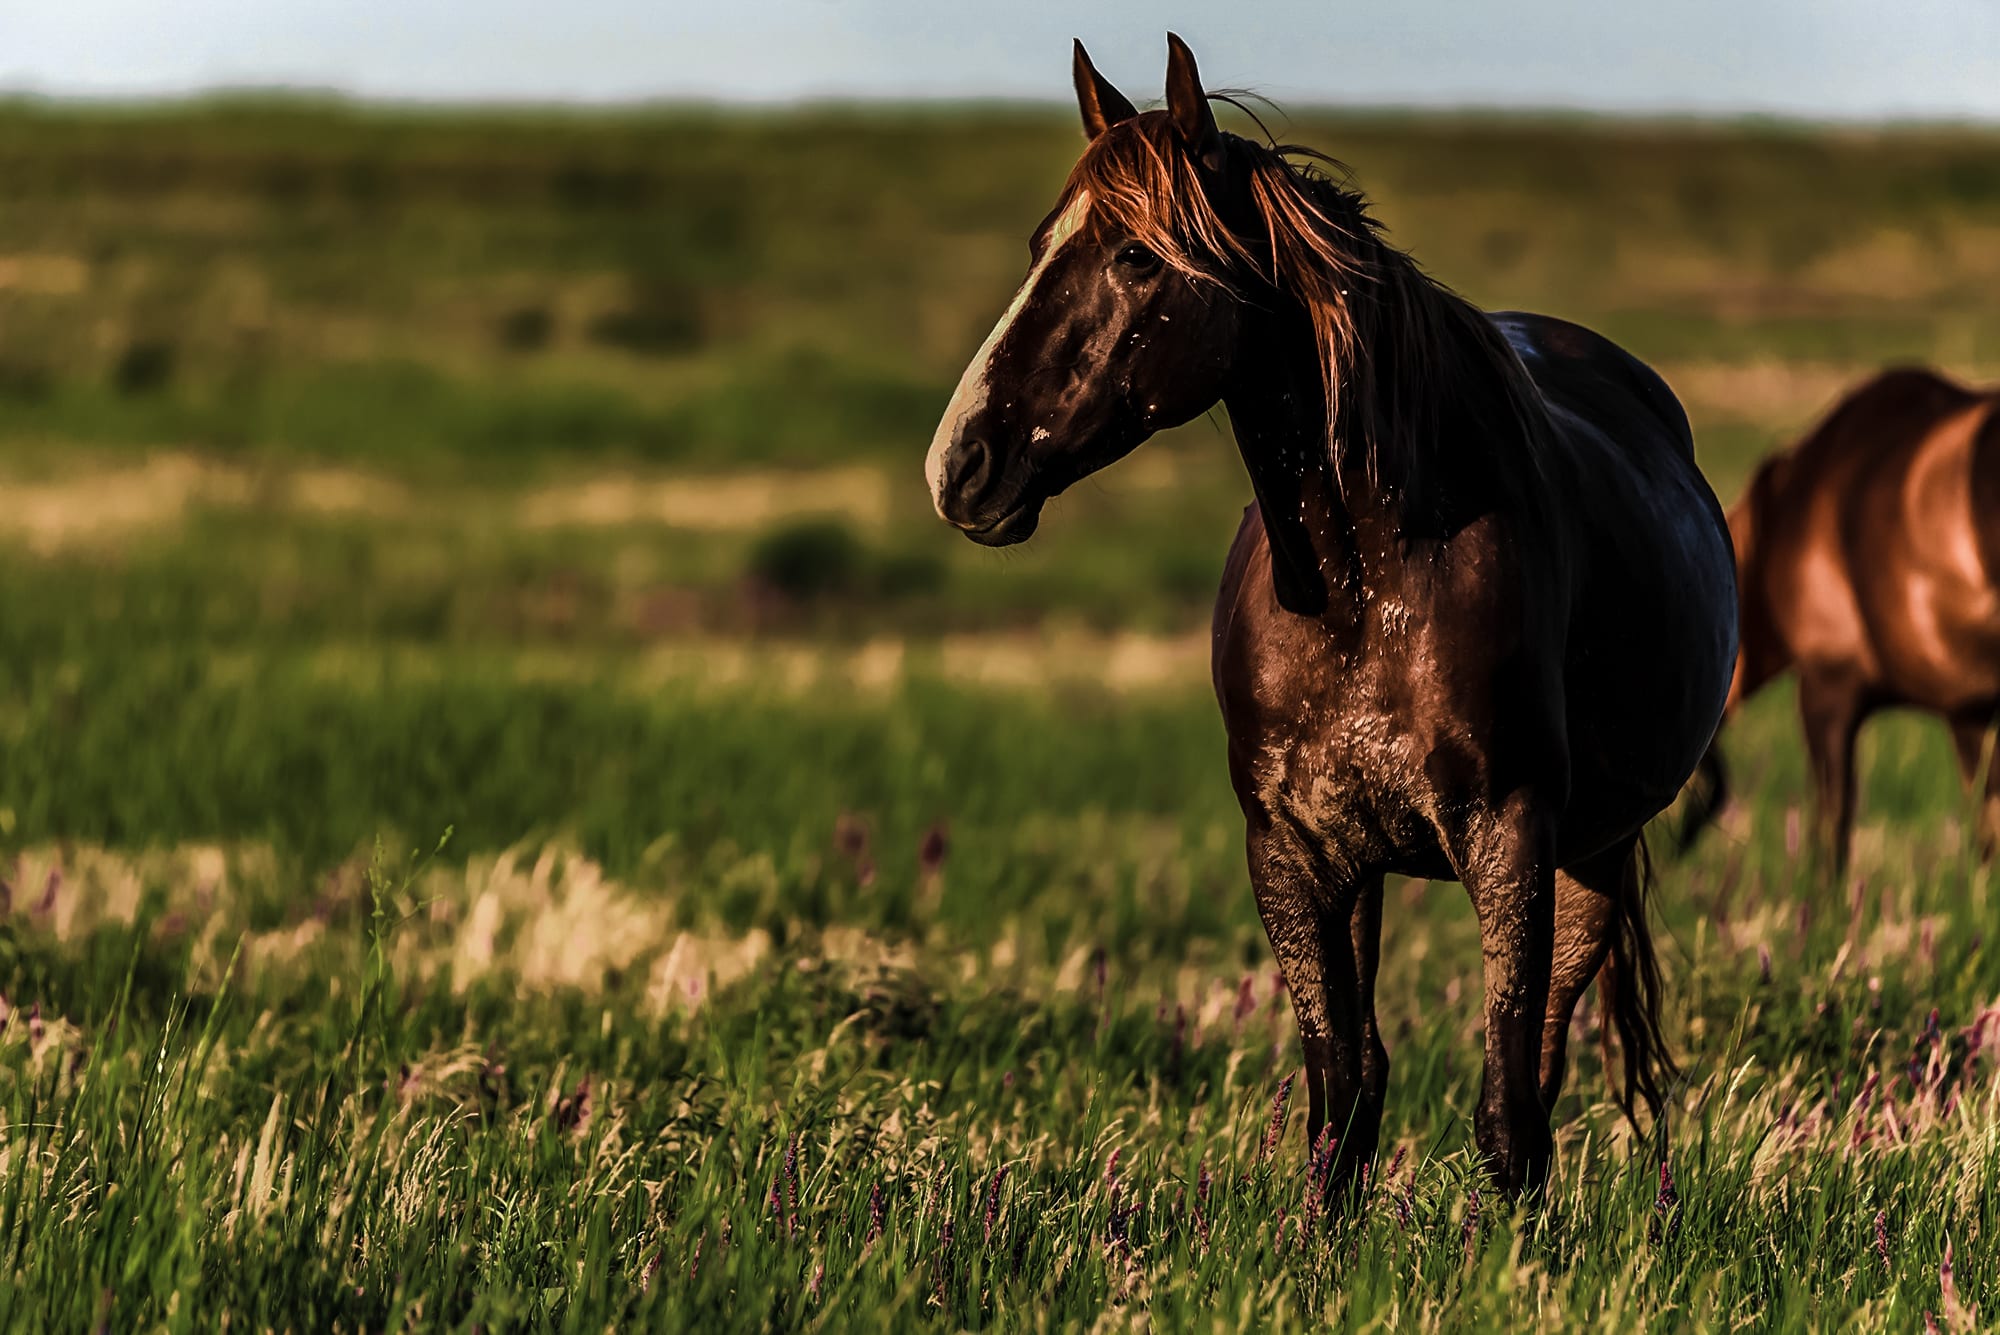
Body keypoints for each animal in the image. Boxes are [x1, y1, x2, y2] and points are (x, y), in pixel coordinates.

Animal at [920, 36, 1736, 1191]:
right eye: (1042, 244)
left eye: (1136, 258)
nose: (960, 463)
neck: (1367, 585)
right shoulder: (1296, 852)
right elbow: (1342, 1098)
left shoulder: (1512, 837)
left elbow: (1503, 1112)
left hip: (1591, 855)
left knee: (1537, 1070)